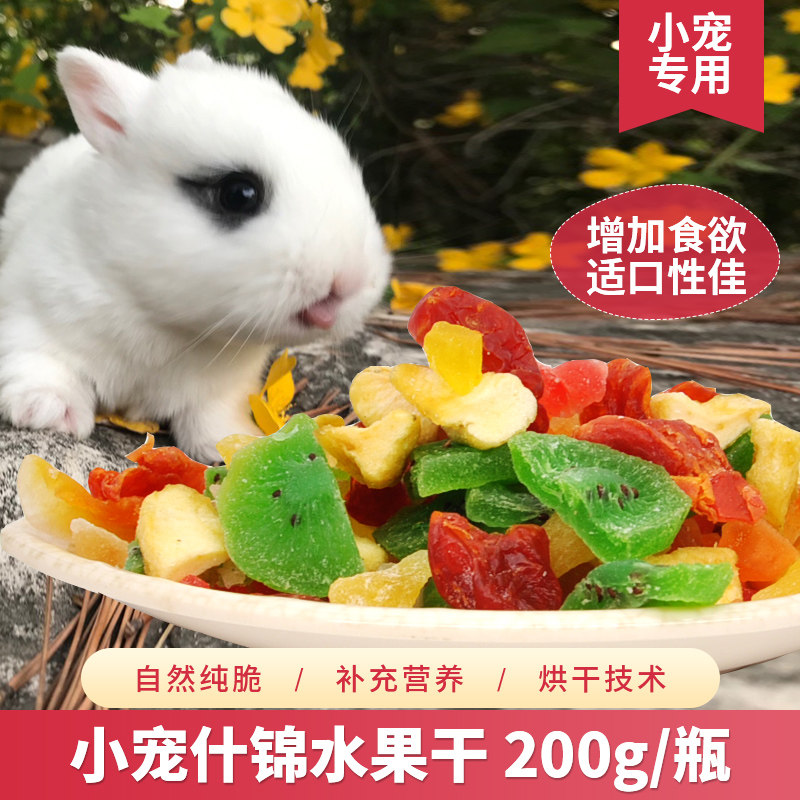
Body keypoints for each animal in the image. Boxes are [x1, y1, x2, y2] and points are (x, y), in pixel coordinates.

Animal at [0, 47, 390, 464]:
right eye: (238, 194)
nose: (350, 280)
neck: (169, 325)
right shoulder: (29, 315)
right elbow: (41, 362)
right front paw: (49, 412)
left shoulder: (224, 387)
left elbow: (211, 416)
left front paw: (232, 442)